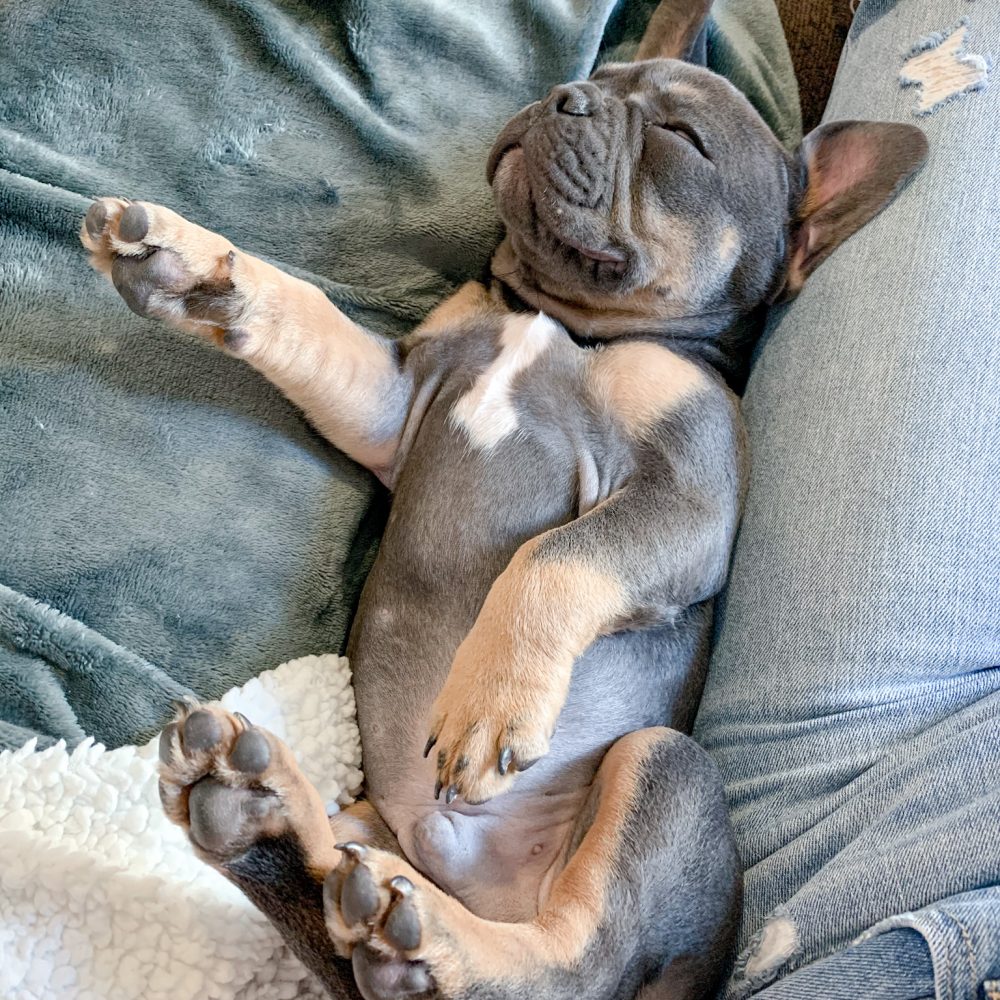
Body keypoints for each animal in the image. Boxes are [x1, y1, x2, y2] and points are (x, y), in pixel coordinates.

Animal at [80, 2, 926, 997]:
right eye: (605, 77)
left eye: (681, 139)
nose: (569, 94)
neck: (564, 321)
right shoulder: (394, 401)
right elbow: (301, 315)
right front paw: (199, 270)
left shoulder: (690, 495)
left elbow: (554, 555)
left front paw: (489, 698)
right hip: (374, 840)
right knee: (339, 895)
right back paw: (262, 818)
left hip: (663, 765)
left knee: (571, 965)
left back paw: (428, 940)